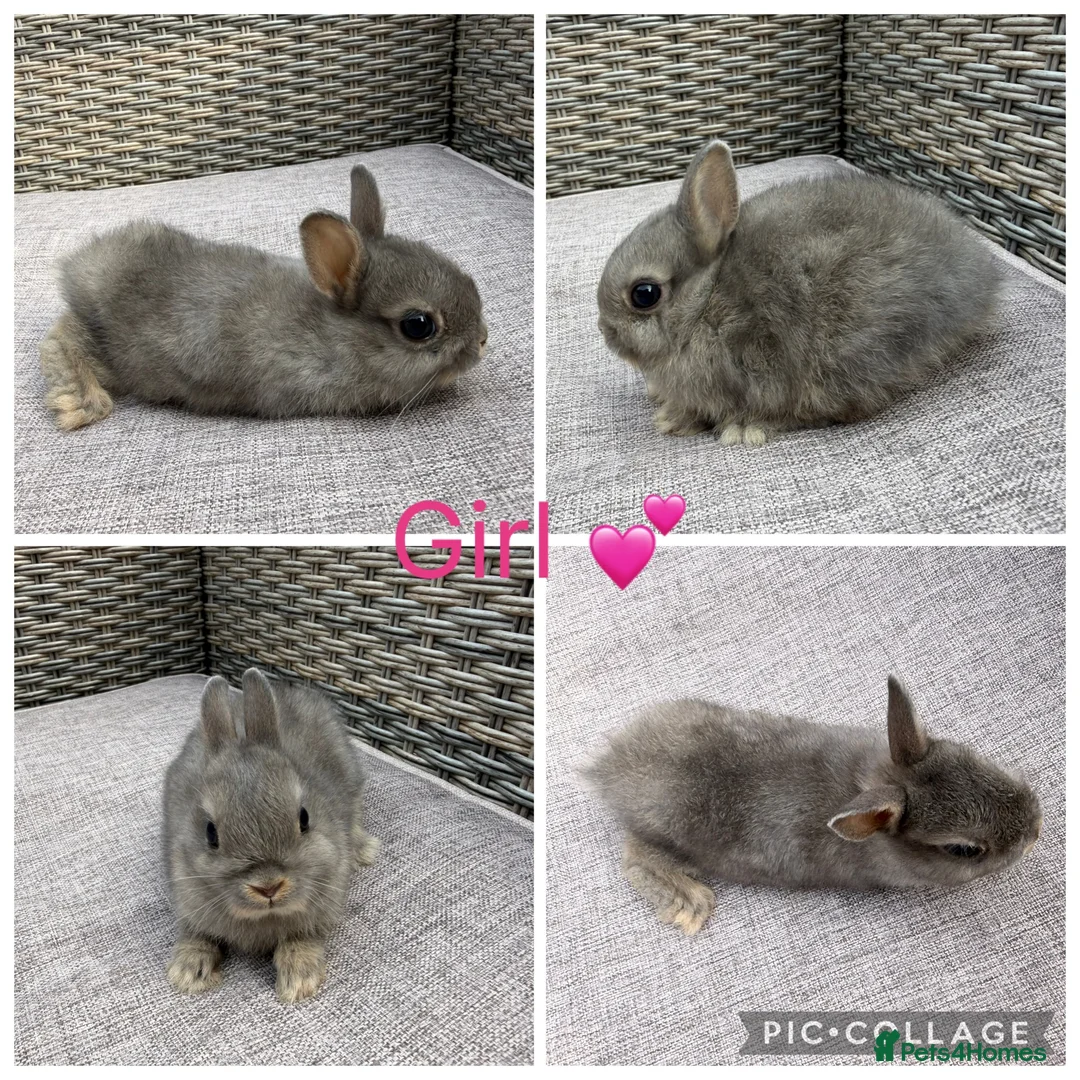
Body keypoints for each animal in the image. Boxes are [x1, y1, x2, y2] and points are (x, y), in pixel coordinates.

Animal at [40, 165, 487, 429]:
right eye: (419, 326)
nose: (483, 340)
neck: (336, 335)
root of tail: (80, 266)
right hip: (120, 355)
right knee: (63, 339)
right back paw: (82, 405)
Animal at [163, 668, 380, 1003]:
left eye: (304, 818)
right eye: (211, 833)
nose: (268, 887)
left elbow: (303, 940)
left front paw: (299, 981)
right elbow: (196, 935)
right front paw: (187, 973)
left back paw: (365, 850)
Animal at [585, 677, 1041, 936]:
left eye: (970, 755)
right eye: (963, 849)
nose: (1035, 829)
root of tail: (608, 768)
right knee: (635, 858)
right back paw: (689, 903)